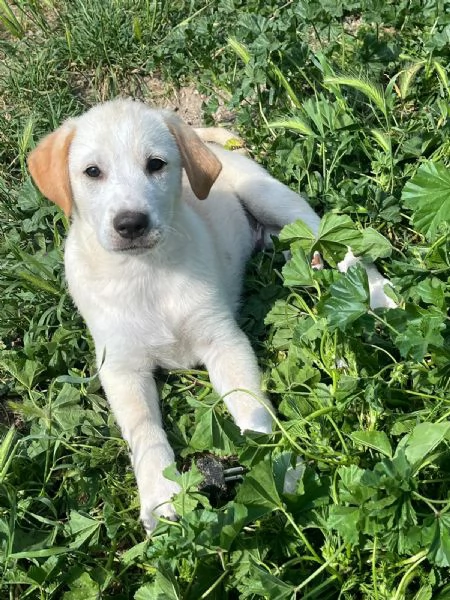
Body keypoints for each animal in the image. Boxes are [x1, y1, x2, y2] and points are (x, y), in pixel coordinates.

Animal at [28, 97, 394, 528]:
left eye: (156, 164)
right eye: (92, 172)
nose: (131, 223)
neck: (147, 273)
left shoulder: (223, 340)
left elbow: (251, 407)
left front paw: (274, 466)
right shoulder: (119, 367)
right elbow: (144, 430)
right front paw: (159, 497)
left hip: (274, 199)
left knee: (342, 246)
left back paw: (377, 294)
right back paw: (310, 263)